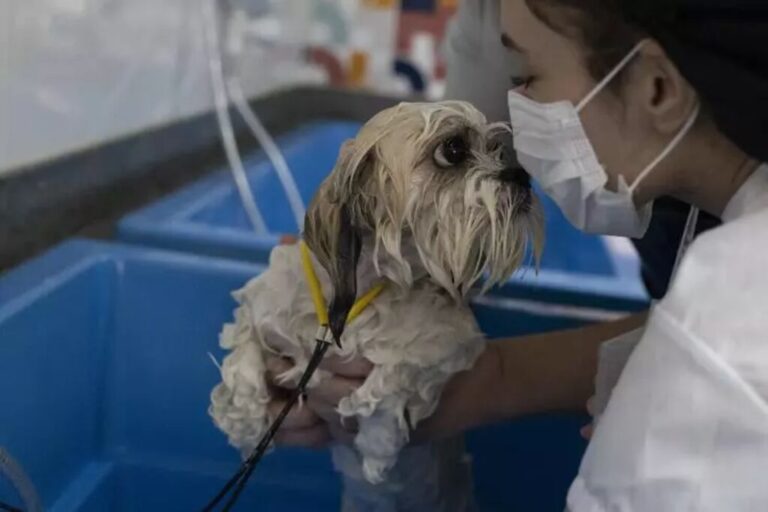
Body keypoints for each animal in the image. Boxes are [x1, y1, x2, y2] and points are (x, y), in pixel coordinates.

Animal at [210, 101, 544, 512]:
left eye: (496, 149)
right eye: (453, 149)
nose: (521, 175)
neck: (353, 298)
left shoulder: (454, 342)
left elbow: (393, 375)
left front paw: (376, 444)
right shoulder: (259, 313)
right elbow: (243, 359)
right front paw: (243, 422)